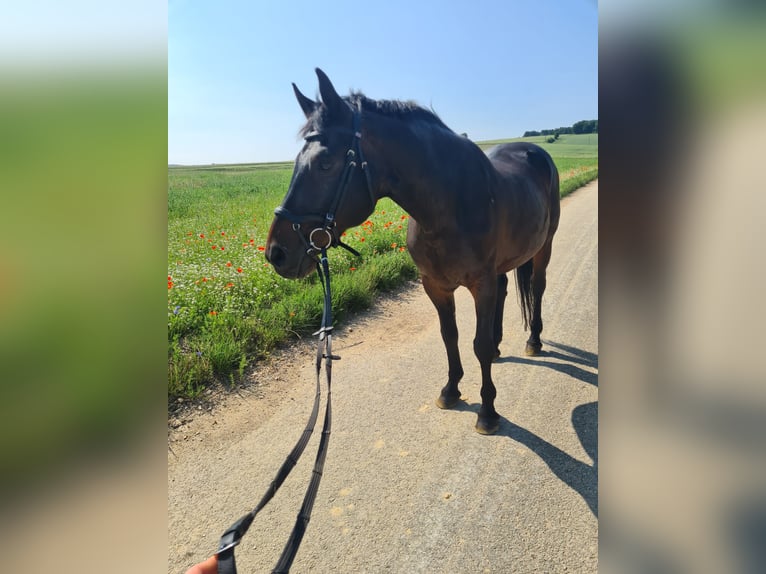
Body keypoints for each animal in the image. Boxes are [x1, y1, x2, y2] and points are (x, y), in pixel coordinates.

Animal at [266, 69, 560, 435]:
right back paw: (498, 345)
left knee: (537, 288)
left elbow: (476, 344)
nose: (276, 253)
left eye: (325, 163)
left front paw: (487, 411)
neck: (450, 205)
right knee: (506, 290)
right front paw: (451, 390)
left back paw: (533, 340)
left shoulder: (481, 283)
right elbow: (450, 336)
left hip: (543, 248)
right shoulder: (434, 285)